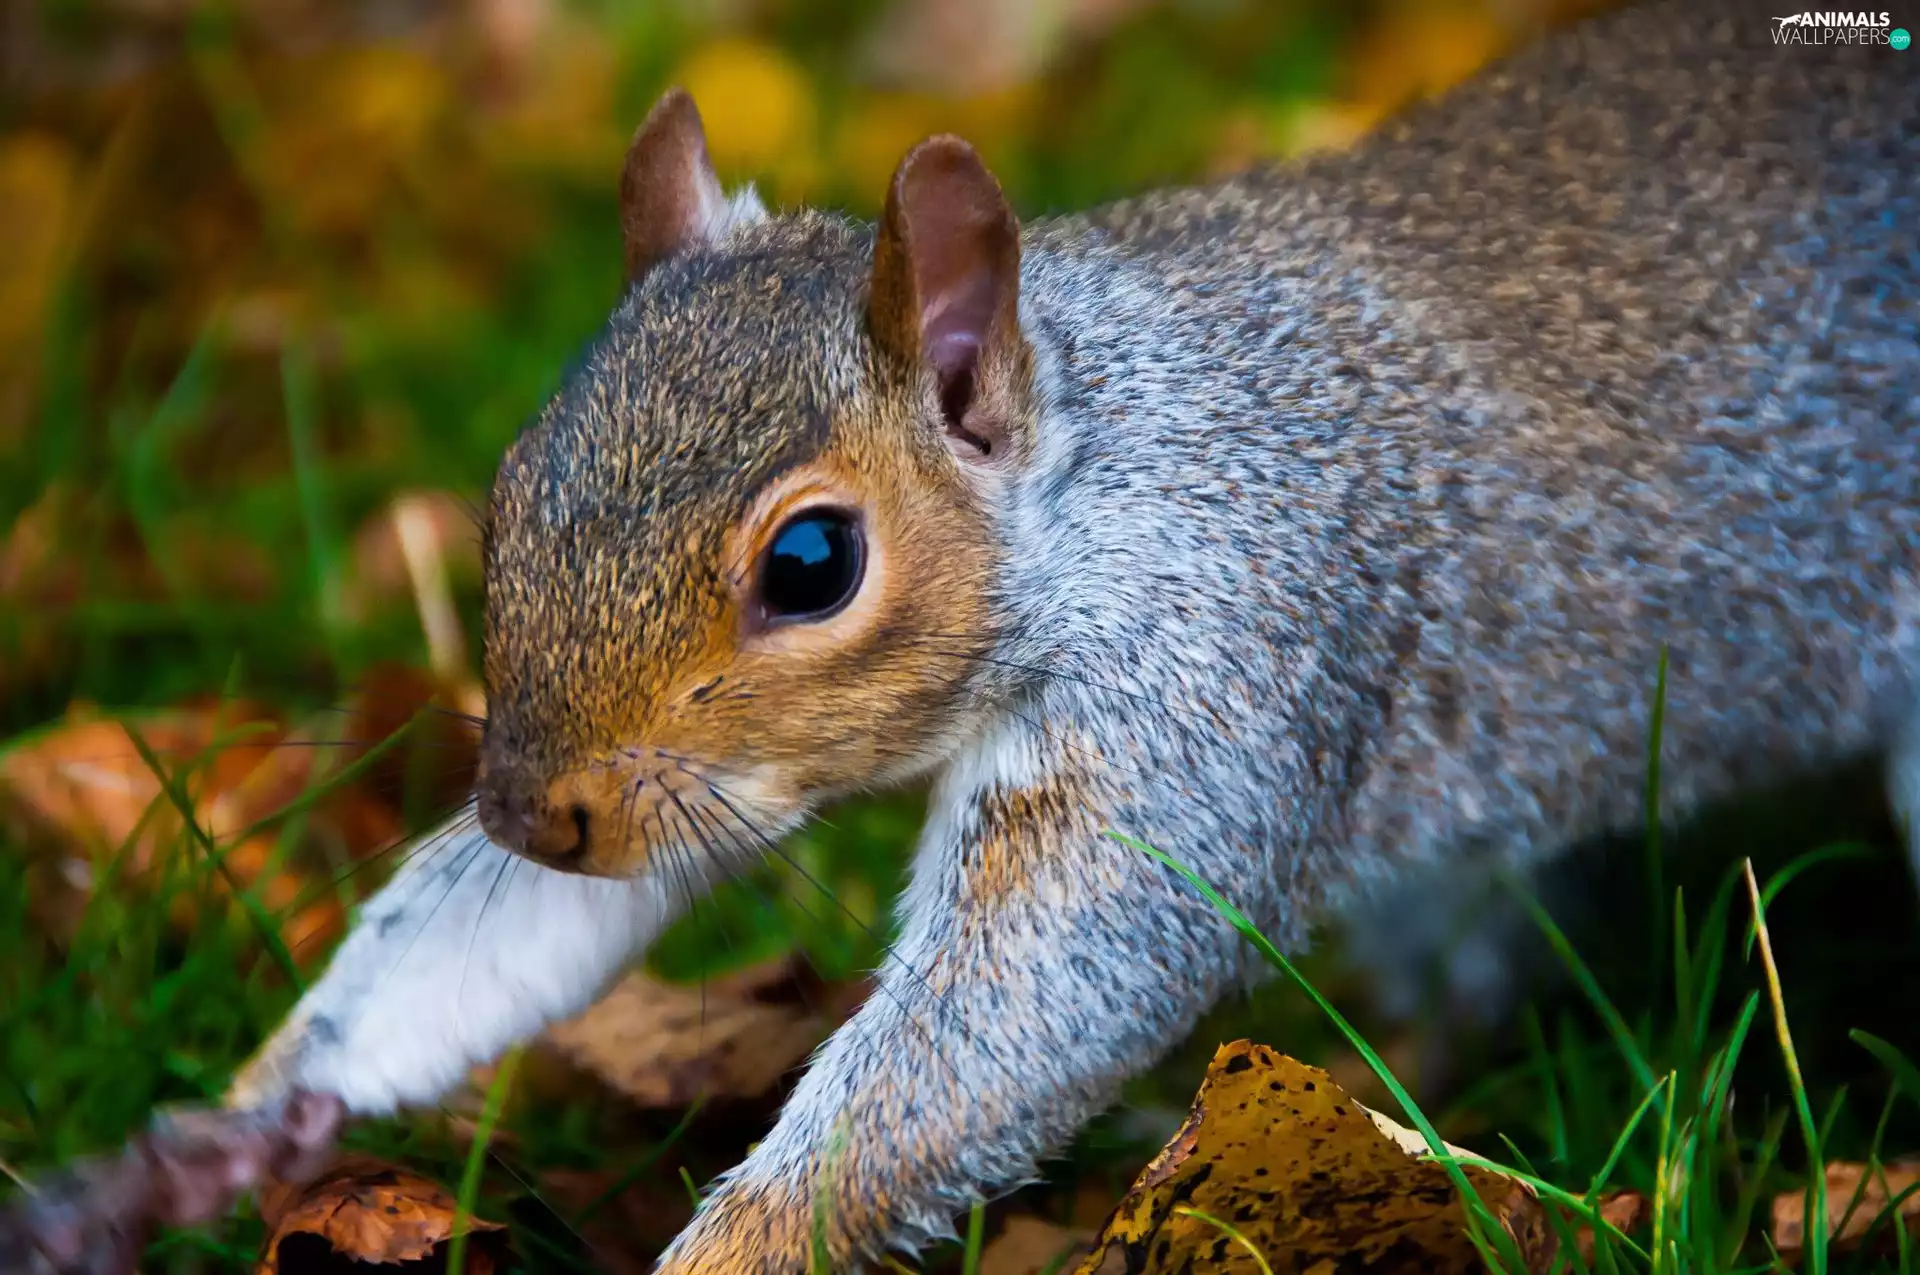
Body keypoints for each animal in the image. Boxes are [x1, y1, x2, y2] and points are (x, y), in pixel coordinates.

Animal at [1, 0, 1915, 1271]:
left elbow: (1022, 1010)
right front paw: (218, 1136)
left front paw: (727, 1247)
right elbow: (492, 952)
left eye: (812, 561)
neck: (1105, 468)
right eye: (510, 490)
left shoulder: (1208, 676)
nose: (529, 814)